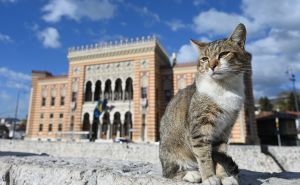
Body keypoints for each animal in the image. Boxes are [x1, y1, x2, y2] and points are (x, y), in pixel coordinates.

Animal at [158, 23, 252, 185]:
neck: (224, 87)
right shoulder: (200, 127)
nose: (212, 65)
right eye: (204, 58)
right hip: (170, 149)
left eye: (223, 54)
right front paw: (209, 177)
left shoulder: (225, 130)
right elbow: (203, 156)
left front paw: (223, 176)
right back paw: (191, 174)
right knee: (168, 172)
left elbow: (220, 155)